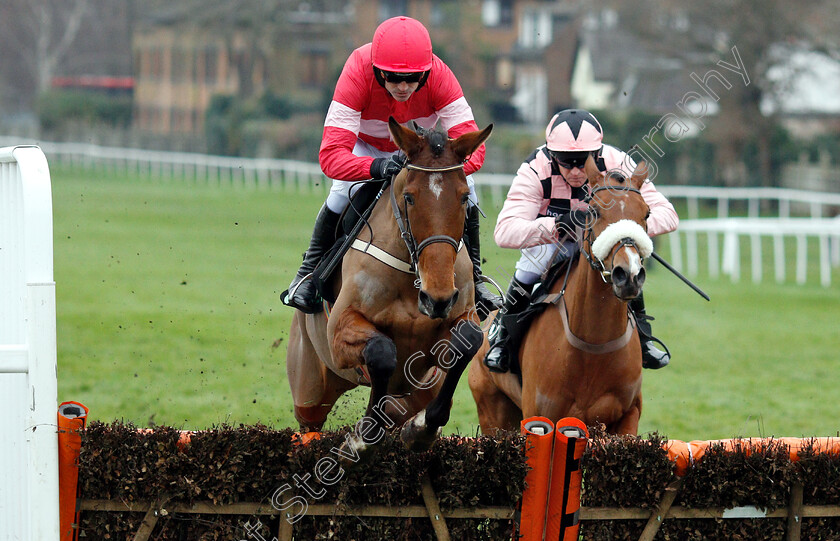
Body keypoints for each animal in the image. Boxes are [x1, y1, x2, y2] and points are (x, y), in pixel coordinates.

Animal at [288, 117, 492, 456]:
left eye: (465, 198)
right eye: (409, 197)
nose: (437, 299)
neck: (413, 279)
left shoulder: (458, 316)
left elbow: (468, 341)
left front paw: (421, 429)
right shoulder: (340, 330)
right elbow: (382, 351)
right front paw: (363, 438)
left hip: (415, 391)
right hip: (310, 386)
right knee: (309, 424)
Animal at [470, 156, 652, 434]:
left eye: (647, 213)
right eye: (594, 212)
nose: (629, 274)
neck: (593, 344)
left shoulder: (627, 415)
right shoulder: (539, 417)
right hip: (493, 410)